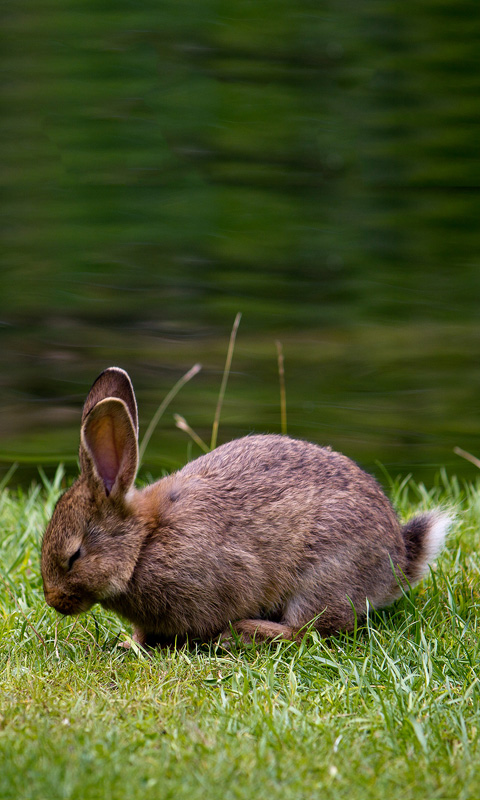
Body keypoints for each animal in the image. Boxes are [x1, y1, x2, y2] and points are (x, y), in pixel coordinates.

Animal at [41, 366, 450, 648]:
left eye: (75, 556)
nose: (54, 601)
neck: (143, 542)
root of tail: (398, 562)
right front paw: (130, 643)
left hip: (325, 572)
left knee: (311, 630)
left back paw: (241, 634)